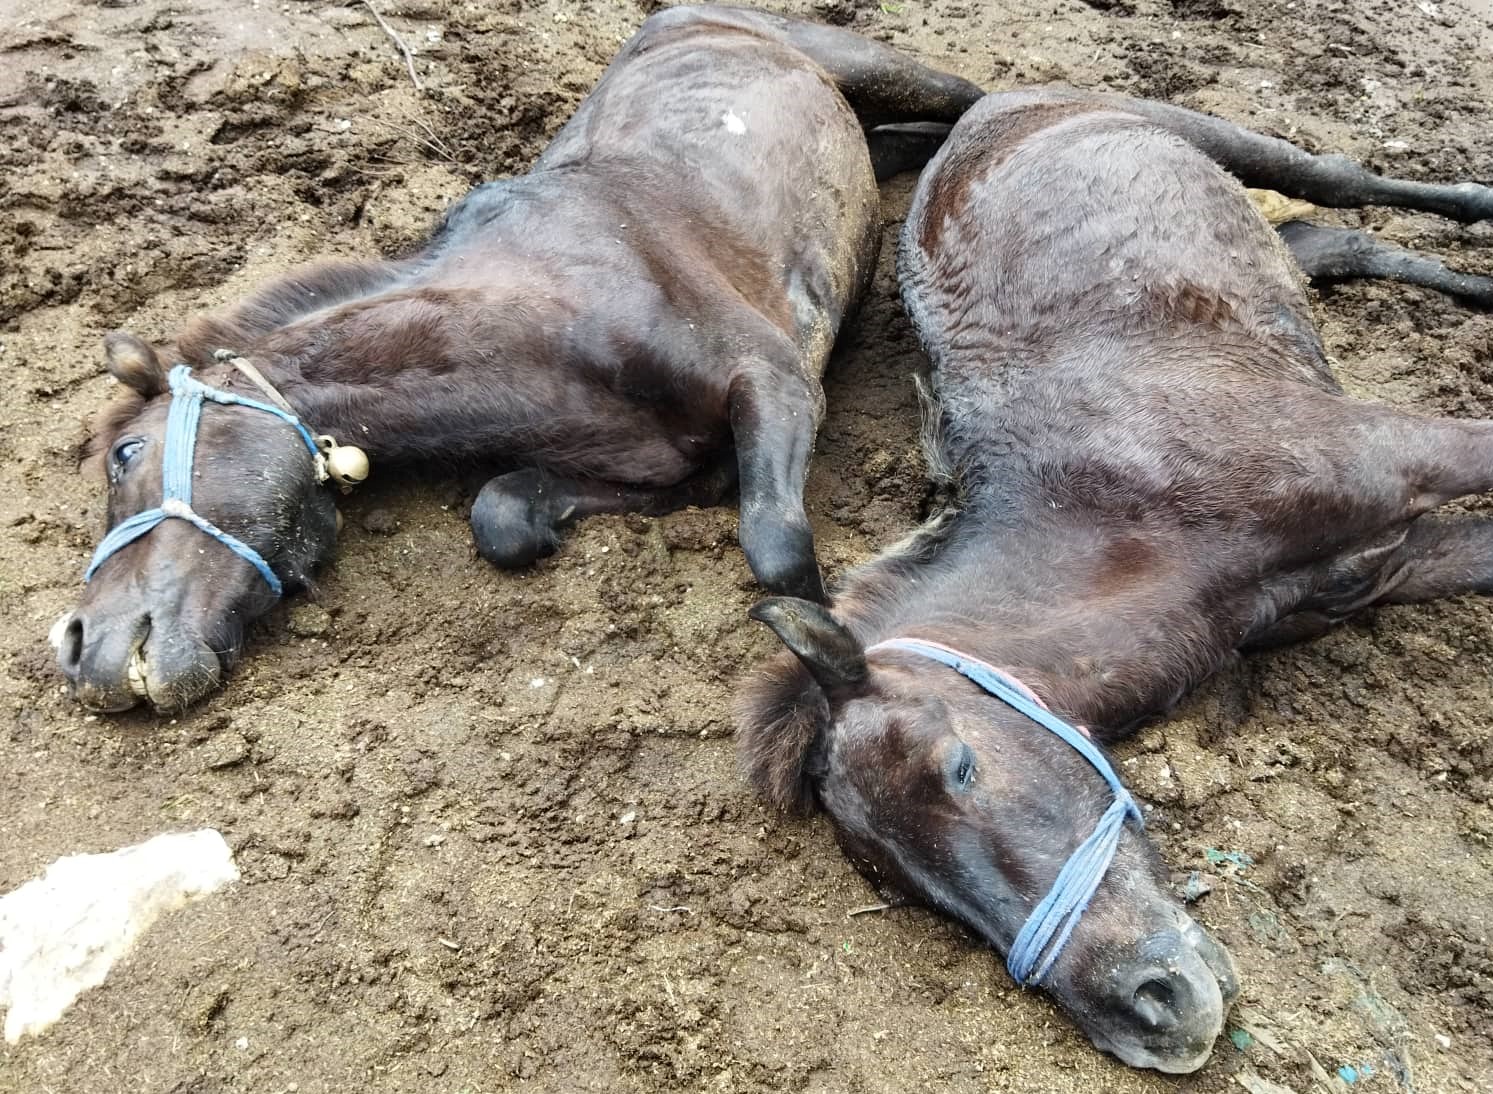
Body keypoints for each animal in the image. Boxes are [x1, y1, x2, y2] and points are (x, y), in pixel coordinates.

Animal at [55, 8, 979, 713]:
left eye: (126, 456)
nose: (79, 647)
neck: (538, 316)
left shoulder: (776, 380)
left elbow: (776, 546)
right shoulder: (661, 465)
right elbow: (503, 516)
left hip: (880, 66)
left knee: (967, 103)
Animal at [740, 89, 1493, 1068]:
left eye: (958, 766)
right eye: (901, 884)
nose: (1153, 1010)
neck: (1125, 504)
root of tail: (987, 108)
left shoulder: (1406, 452)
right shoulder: (1386, 568)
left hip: (1220, 136)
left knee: (1346, 181)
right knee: (1332, 243)